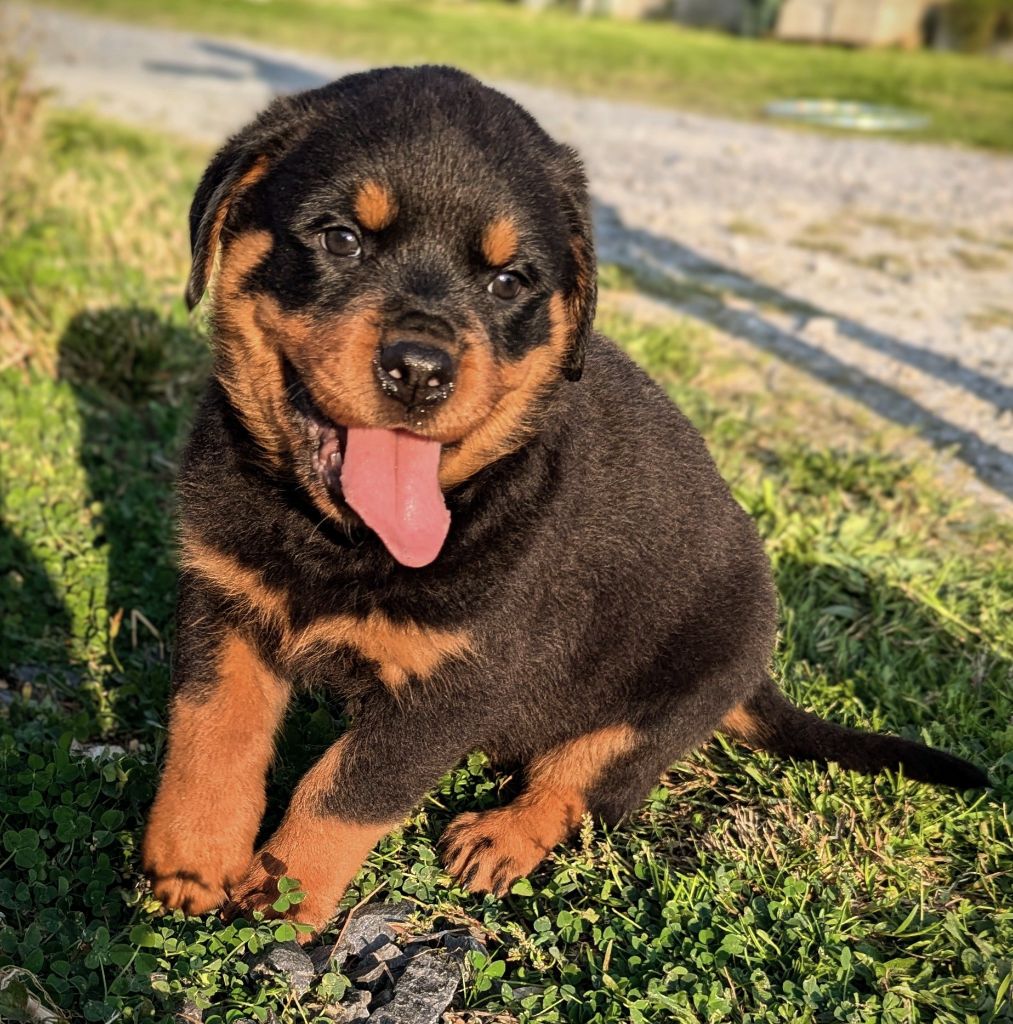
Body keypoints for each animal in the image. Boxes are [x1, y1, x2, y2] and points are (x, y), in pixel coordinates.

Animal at [142, 66, 987, 934]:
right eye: (340, 239)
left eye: (507, 280)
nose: (420, 369)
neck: (336, 537)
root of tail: (753, 676)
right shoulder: (221, 600)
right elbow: (211, 732)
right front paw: (192, 862)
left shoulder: (458, 685)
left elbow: (346, 789)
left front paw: (283, 900)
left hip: (668, 700)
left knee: (585, 783)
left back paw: (501, 837)